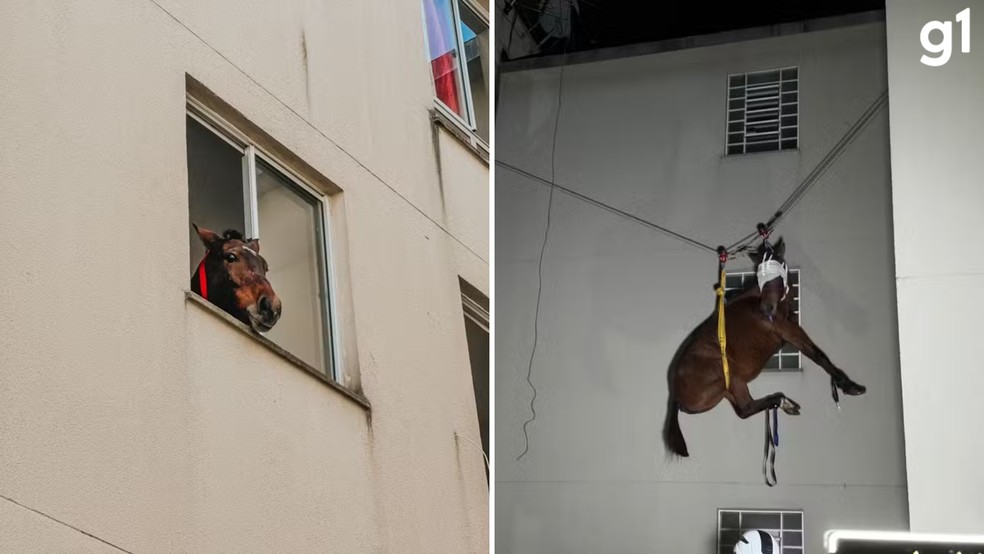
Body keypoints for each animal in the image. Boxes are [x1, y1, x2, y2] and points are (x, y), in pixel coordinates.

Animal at [664, 235, 864, 454]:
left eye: (777, 268)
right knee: (746, 408)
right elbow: (818, 355)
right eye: (761, 274)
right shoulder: (790, 331)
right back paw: (783, 401)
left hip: (728, 390)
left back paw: (784, 403)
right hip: (731, 377)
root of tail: (675, 393)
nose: (767, 308)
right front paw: (849, 385)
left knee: (744, 410)